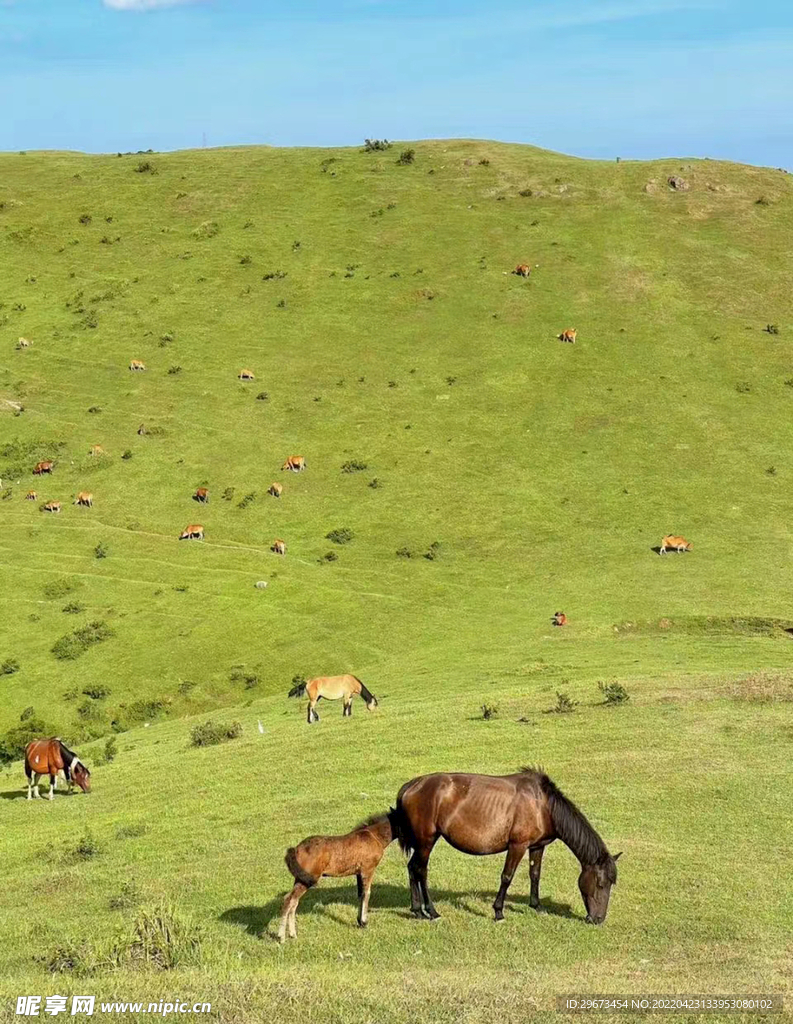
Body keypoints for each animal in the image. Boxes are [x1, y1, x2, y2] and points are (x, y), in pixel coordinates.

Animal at [278, 806, 401, 942]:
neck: (374, 836)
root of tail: (296, 849)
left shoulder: (358, 873)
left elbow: (360, 894)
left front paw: (359, 921)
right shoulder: (368, 870)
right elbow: (367, 893)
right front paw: (364, 922)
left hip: (300, 878)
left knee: (294, 901)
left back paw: (292, 934)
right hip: (307, 879)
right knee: (289, 899)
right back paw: (281, 937)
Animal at [393, 770, 622, 929]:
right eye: (601, 884)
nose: (598, 919)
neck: (542, 805)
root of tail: (412, 785)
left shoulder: (537, 846)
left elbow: (535, 874)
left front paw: (537, 906)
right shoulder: (517, 846)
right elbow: (507, 877)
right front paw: (498, 912)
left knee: (412, 868)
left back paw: (417, 911)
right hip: (426, 841)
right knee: (421, 871)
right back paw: (432, 912)